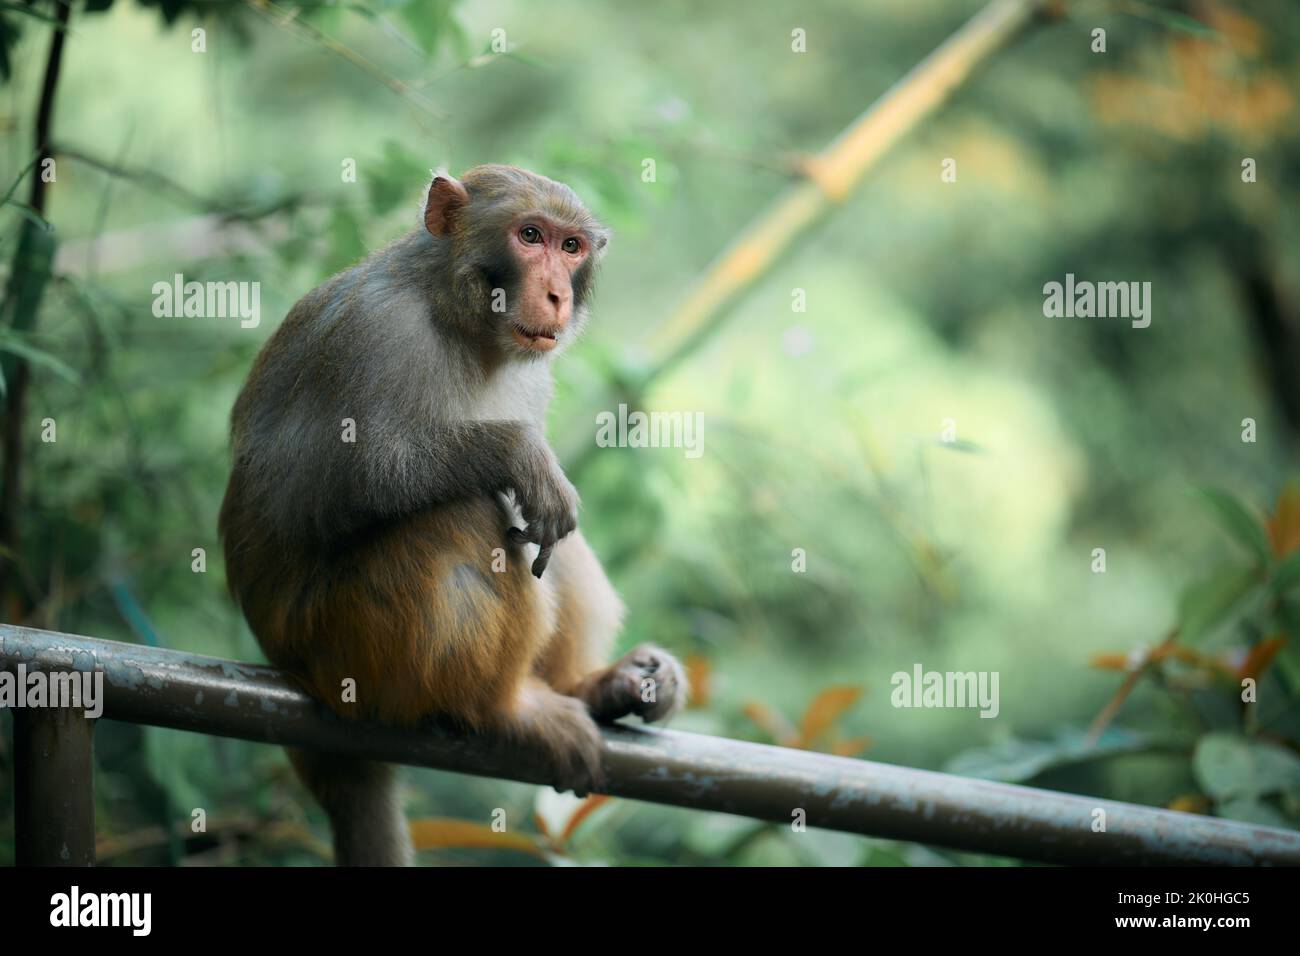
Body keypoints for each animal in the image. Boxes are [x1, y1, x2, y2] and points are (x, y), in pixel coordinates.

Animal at [218, 165, 685, 866]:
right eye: (529, 236)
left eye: (571, 247)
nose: (555, 295)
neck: (457, 319)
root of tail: (289, 665)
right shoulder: (378, 336)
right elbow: (344, 485)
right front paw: (515, 450)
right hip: (351, 652)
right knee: (460, 513)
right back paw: (502, 709)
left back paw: (595, 685)